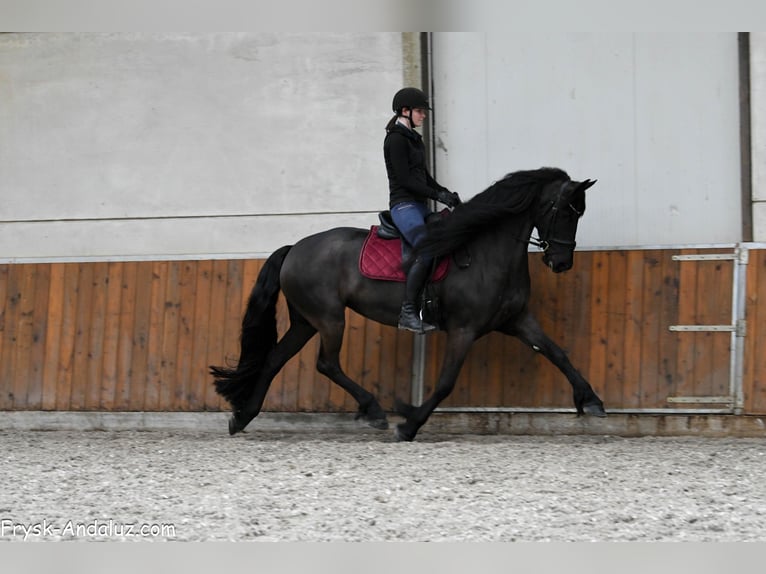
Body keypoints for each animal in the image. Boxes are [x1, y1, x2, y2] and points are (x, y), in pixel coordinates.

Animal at [210, 167, 606, 441]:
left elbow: (557, 353)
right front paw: (410, 424)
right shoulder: (464, 329)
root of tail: (294, 248)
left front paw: (592, 400)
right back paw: (373, 410)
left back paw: (242, 417)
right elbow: (446, 383)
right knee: (326, 364)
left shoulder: (518, 320)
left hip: (306, 321)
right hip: (329, 318)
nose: (561, 262)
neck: (487, 251)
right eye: (566, 211)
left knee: (275, 359)